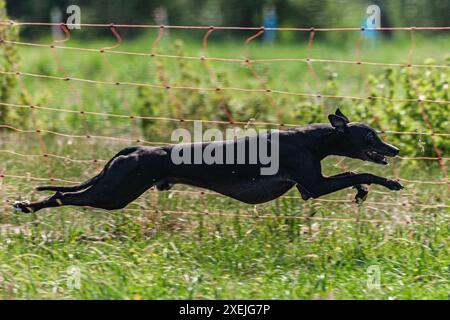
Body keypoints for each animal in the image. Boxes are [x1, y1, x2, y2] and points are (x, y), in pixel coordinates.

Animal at [12, 109, 402, 214]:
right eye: (370, 137)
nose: (395, 150)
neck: (311, 139)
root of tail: (133, 151)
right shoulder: (315, 186)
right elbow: (360, 170)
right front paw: (390, 182)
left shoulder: (308, 189)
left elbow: (354, 174)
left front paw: (363, 192)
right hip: (114, 194)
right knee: (63, 196)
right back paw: (27, 207)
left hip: (114, 189)